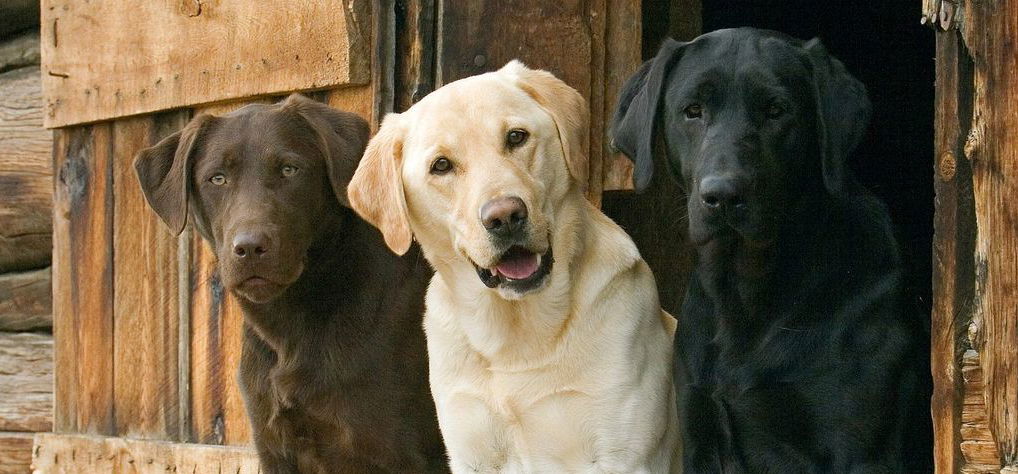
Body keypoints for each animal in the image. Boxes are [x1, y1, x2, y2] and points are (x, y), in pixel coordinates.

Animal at [134, 94, 445, 471]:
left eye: (289, 170)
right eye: (217, 178)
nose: (249, 247)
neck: (292, 328)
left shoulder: (407, 454)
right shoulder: (275, 448)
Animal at [606, 28, 928, 469]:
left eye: (776, 111)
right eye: (693, 110)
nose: (723, 195)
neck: (748, 294)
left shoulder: (863, 450)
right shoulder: (700, 431)